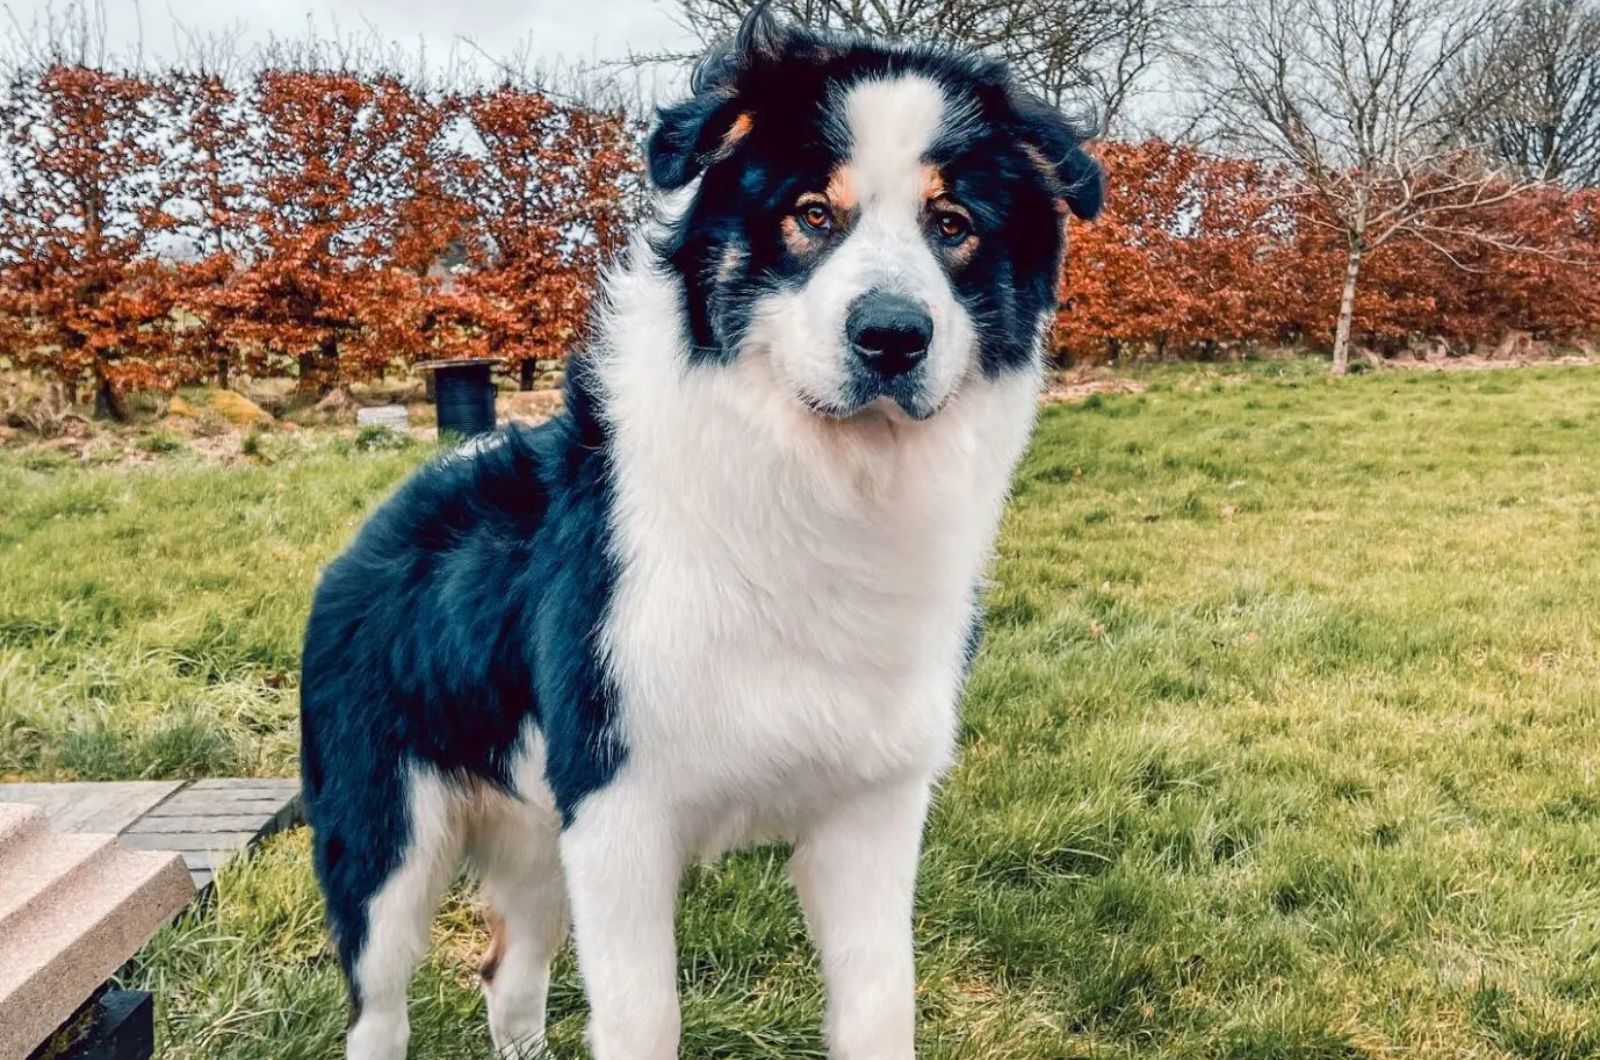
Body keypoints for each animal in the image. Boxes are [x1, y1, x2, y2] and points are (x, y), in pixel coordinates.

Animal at [300, 10, 1100, 1060]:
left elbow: (882, 1004)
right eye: (812, 213)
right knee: (381, 1009)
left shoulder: (871, 809)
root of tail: (387, 515)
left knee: (508, 980)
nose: (892, 336)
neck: (821, 486)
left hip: (536, 839)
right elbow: (646, 1018)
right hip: (387, 844)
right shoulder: (619, 810)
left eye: (954, 224)